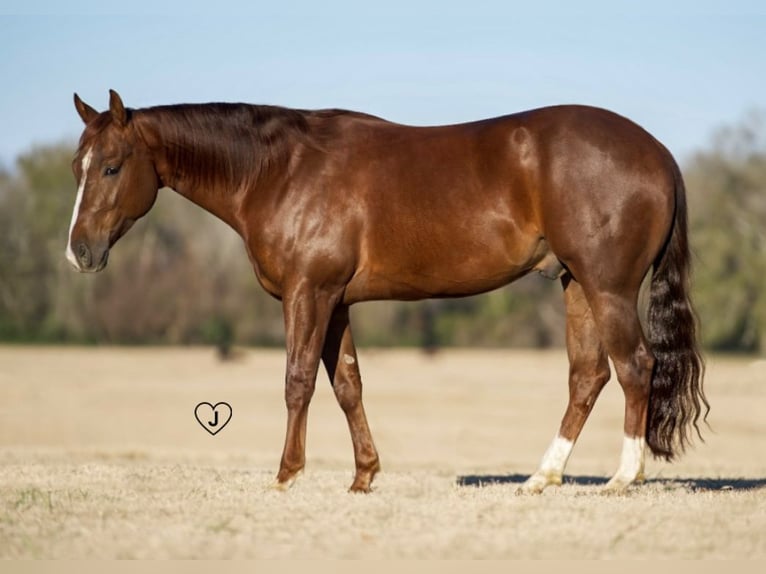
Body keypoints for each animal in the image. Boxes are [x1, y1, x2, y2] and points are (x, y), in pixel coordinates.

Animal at [69, 90, 712, 496]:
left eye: (111, 166)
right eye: (78, 166)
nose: (79, 252)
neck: (280, 171)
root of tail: (659, 154)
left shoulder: (309, 293)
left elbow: (298, 381)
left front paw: (286, 474)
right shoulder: (336, 301)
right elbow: (348, 385)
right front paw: (363, 475)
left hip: (608, 287)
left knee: (635, 366)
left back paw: (623, 478)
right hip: (576, 284)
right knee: (588, 376)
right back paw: (541, 477)